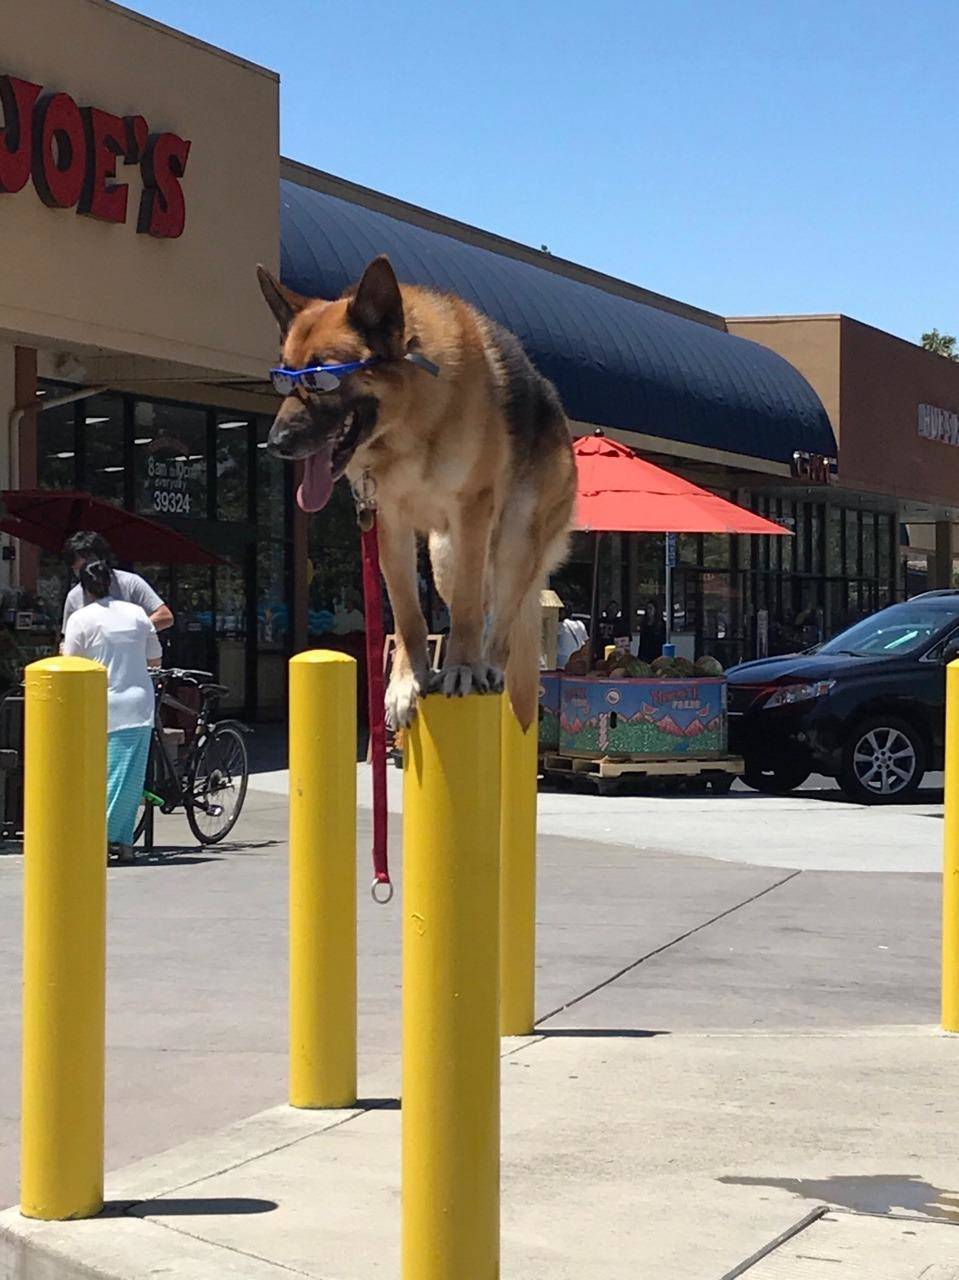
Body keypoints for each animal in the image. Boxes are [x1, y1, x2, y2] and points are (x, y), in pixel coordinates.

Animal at [256, 256, 576, 732]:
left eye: (320, 379)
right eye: (282, 379)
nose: (275, 443)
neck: (409, 424)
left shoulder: (472, 511)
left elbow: (465, 611)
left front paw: (461, 668)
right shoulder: (388, 520)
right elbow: (408, 613)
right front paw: (407, 682)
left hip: (513, 540)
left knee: (498, 623)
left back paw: (486, 666)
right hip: (444, 556)